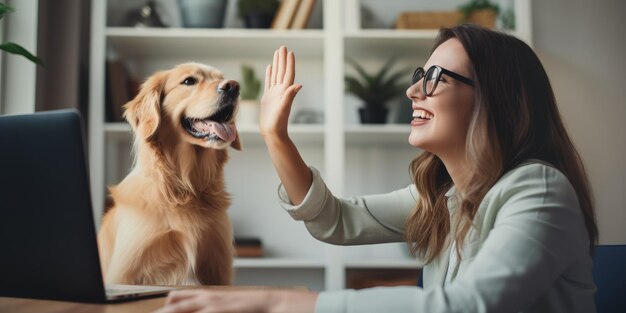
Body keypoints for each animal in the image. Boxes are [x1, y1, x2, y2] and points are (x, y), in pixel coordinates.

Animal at [97, 62, 239, 284]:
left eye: (221, 78)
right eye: (189, 81)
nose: (233, 86)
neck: (185, 187)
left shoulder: (219, 267)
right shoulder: (125, 272)